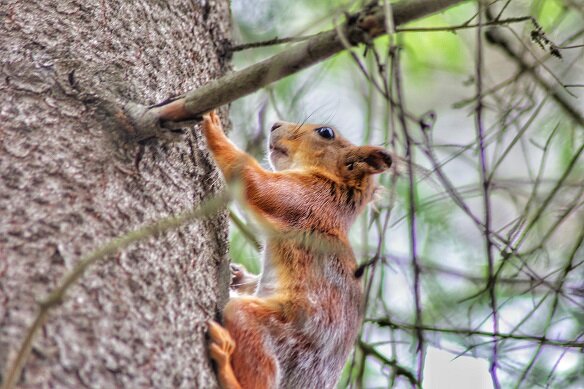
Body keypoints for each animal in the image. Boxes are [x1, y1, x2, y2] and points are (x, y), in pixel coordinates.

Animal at [202, 110, 392, 386]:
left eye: (326, 132)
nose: (275, 124)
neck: (333, 189)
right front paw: (238, 276)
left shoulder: (303, 198)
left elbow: (257, 184)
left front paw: (214, 132)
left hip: (273, 330)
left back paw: (225, 365)